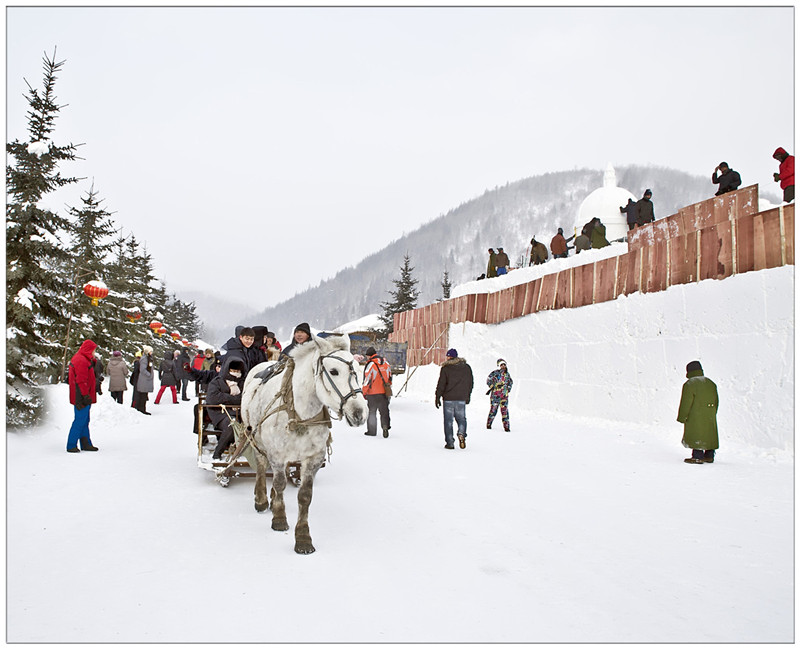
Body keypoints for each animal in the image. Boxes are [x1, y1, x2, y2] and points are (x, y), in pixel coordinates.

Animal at [241, 334, 368, 552]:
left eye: (360, 372)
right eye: (334, 371)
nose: (359, 413)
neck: (299, 414)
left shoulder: (313, 458)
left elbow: (305, 495)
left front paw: (302, 537)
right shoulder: (277, 454)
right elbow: (280, 483)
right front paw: (279, 518)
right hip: (256, 438)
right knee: (261, 466)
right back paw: (262, 499)